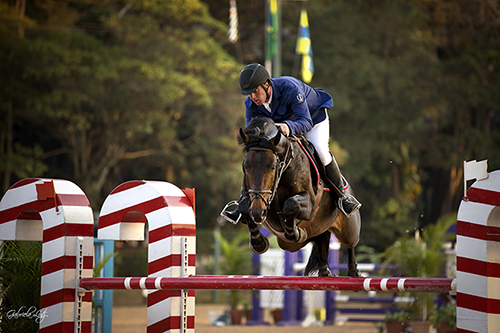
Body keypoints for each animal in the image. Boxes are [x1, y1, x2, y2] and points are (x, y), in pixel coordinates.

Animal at [234, 115, 360, 276]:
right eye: (245, 166)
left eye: (273, 167)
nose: (258, 211)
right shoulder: (254, 200)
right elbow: (244, 208)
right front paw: (259, 243)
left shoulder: (309, 204)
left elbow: (290, 205)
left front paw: (297, 233)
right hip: (310, 235)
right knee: (322, 245)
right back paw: (325, 272)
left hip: (348, 230)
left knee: (350, 244)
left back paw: (353, 271)